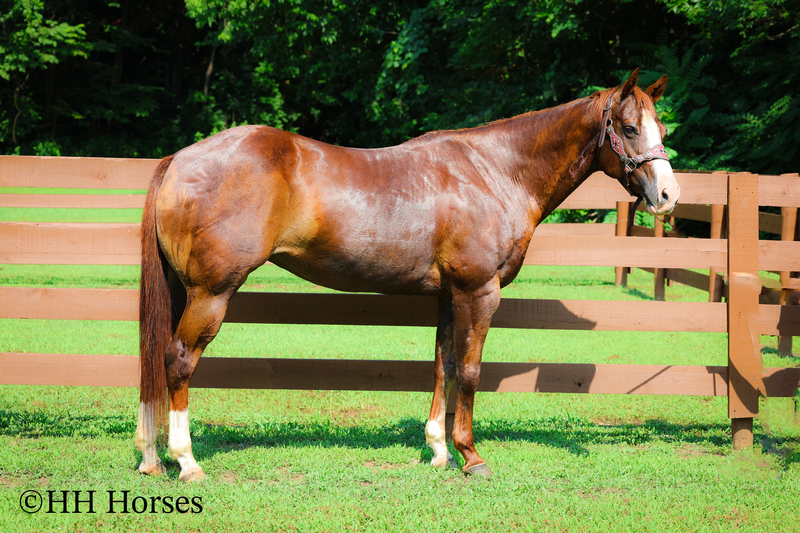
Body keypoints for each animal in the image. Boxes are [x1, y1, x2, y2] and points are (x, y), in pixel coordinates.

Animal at [135, 68, 679, 481]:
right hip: (211, 292)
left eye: (662, 130)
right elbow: (470, 372)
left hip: (185, 291)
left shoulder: (449, 296)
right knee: (178, 361)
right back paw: (186, 462)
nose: (669, 196)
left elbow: (443, 366)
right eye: (629, 128)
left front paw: (439, 451)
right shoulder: (479, 292)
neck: (494, 172)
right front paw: (471, 456)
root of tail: (179, 159)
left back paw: (151, 458)